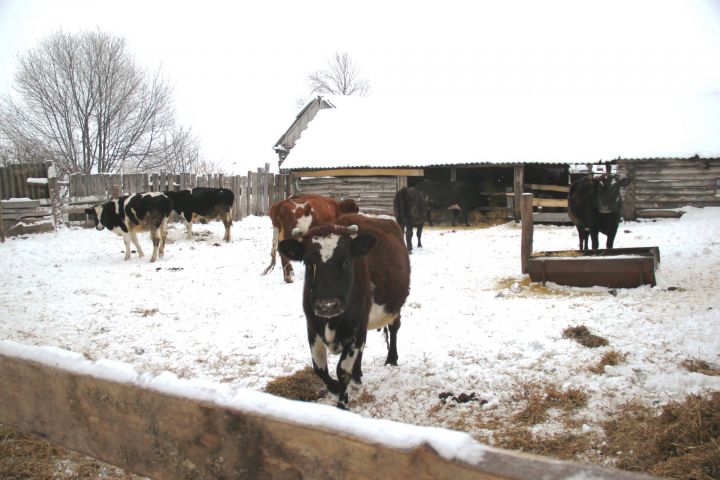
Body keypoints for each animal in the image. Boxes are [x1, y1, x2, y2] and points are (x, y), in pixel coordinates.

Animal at [278, 214, 410, 408]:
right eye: (308, 263)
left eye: (346, 261)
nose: (327, 305)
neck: (332, 322)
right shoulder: (312, 326)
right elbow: (320, 369)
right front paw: (334, 387)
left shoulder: (356, 327)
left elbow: (342, 370)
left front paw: (342, 404)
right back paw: (358, 375)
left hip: (394, 308)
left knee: (394, 329)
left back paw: (391, 359)